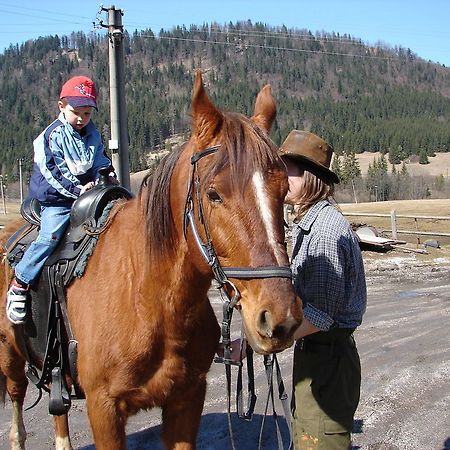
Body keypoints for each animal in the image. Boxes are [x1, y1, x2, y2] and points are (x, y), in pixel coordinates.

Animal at [0, 72, 302, 448]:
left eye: (283, 192)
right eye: (214, 194)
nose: (280, 318)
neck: (148, 298)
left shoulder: (187, 400)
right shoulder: (104, 410)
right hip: (10, 359)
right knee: (16, 404)